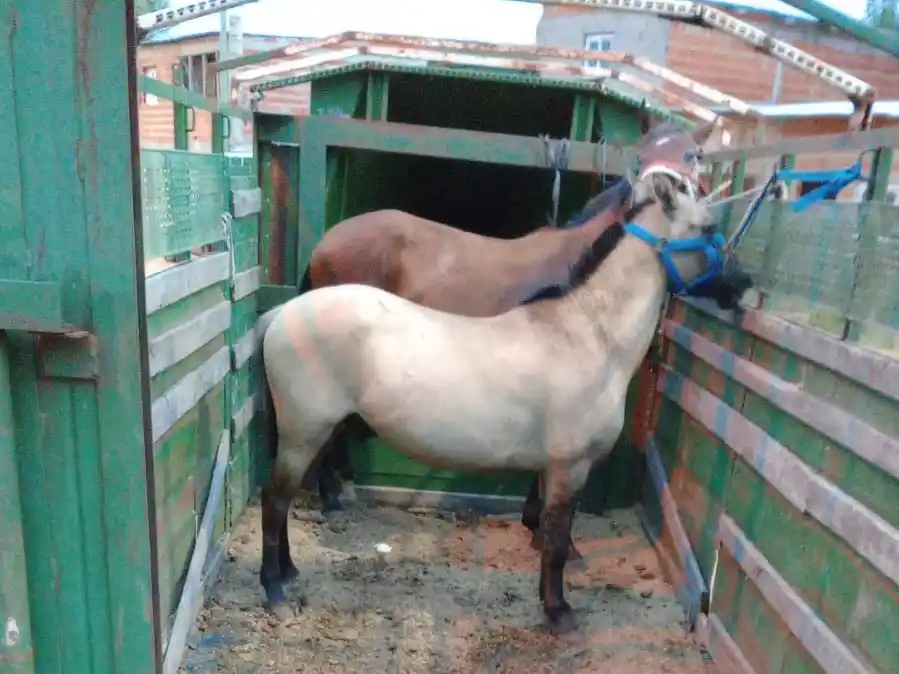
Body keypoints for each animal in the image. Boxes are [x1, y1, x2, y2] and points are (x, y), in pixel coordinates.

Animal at [254, 169, 753, 633]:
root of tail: (283, 313)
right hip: (304, 432)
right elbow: (557, 540)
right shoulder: (569, 467)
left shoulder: (550, 467)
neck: (589, 336)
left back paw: (291, 570)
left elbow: (548, 531)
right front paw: (558, 612)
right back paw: (274, 591)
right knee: (275, 499)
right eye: (708, 227)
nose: (745, 286)